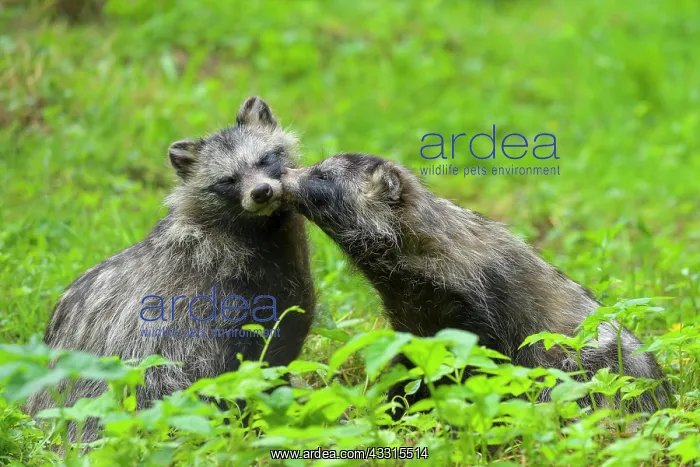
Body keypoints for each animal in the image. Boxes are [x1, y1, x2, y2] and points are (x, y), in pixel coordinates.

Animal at [25, 97, 316, 442]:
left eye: (266, 159)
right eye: (227, 180)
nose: (261, 192)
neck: (260, 231)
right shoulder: (209, 309)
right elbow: (224, 378)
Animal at [281, 152, 670, 419]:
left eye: (323, 173)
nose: (281, 174)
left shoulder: (478, 318)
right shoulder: (413, 323)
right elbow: (413, 374)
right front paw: (395, 411)